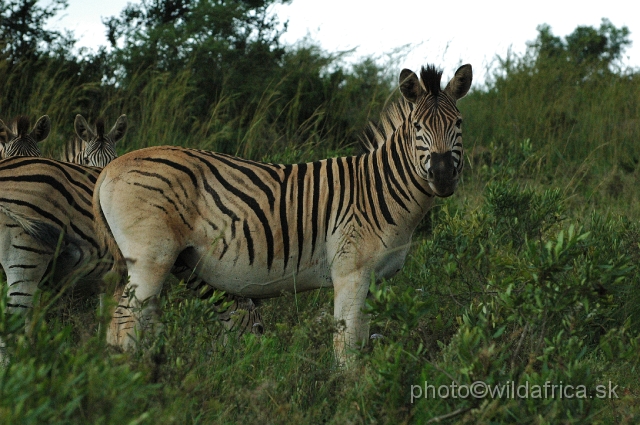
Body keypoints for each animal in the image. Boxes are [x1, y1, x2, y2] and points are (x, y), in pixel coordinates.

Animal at [92, 62, 472, 362]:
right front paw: (349, 399)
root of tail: (109, 170)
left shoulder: (373, 280)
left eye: (459, 124)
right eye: (418, 128)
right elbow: (346, 347)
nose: (442, 176)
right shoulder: (350, 272)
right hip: (151, 258)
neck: (378, 190)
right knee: (126, 326)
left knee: (124, 324)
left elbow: (360, 343)